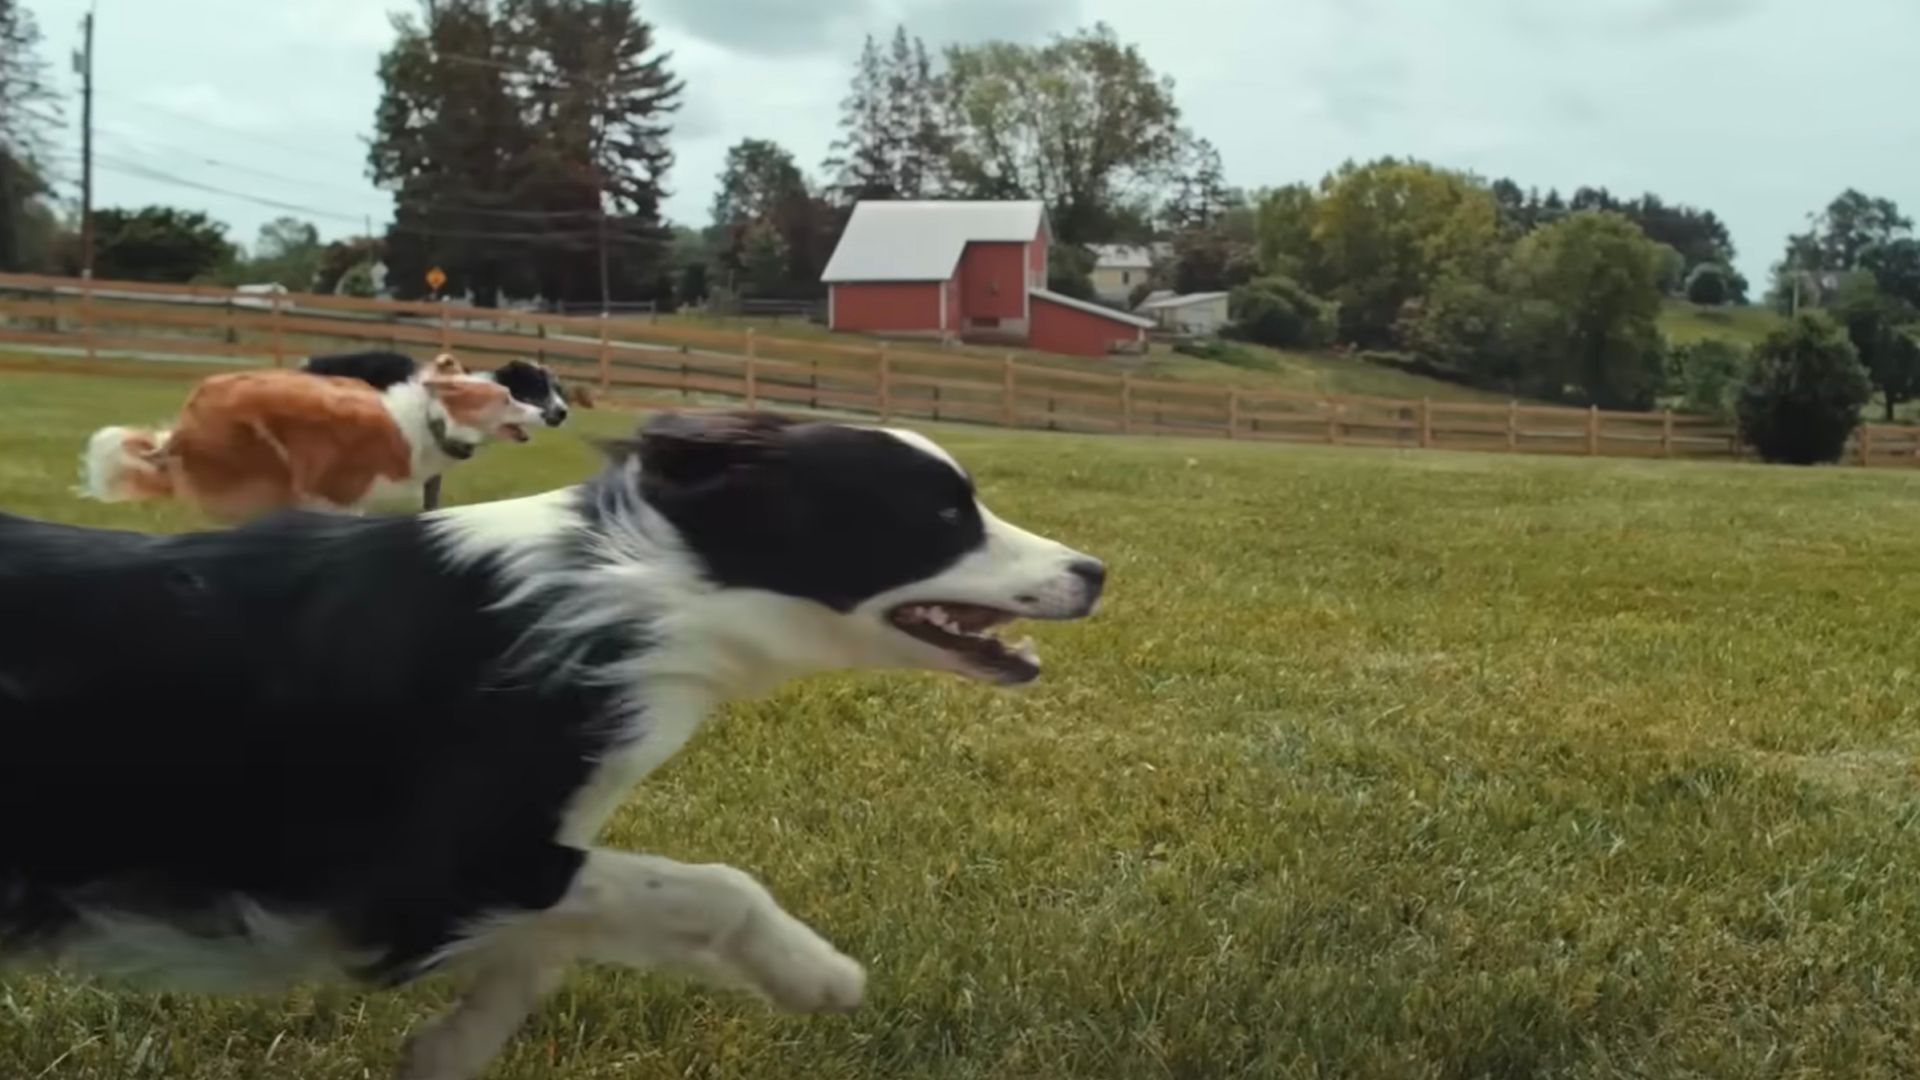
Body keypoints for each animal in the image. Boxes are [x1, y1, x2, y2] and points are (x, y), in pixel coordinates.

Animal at [81, 363, 545, 518]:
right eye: (507, 398)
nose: (547, 414)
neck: (432, 423)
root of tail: (179, 431)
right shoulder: (335, 492)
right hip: (264, 467)